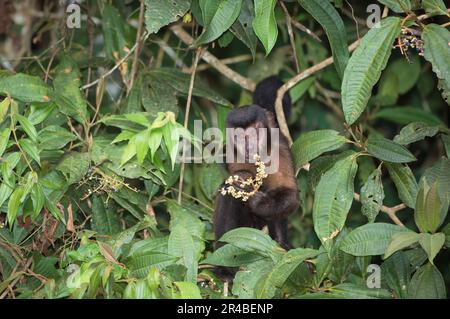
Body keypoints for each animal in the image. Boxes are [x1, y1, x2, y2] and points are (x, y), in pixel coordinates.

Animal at [214, 75, 298, 252]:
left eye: (253, 134)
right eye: (239, 137)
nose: (248, 146)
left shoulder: (279, 151)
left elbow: (288, 192)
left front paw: (256, 201)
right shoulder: (232, 151)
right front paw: (242, 180)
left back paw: (280, 242)